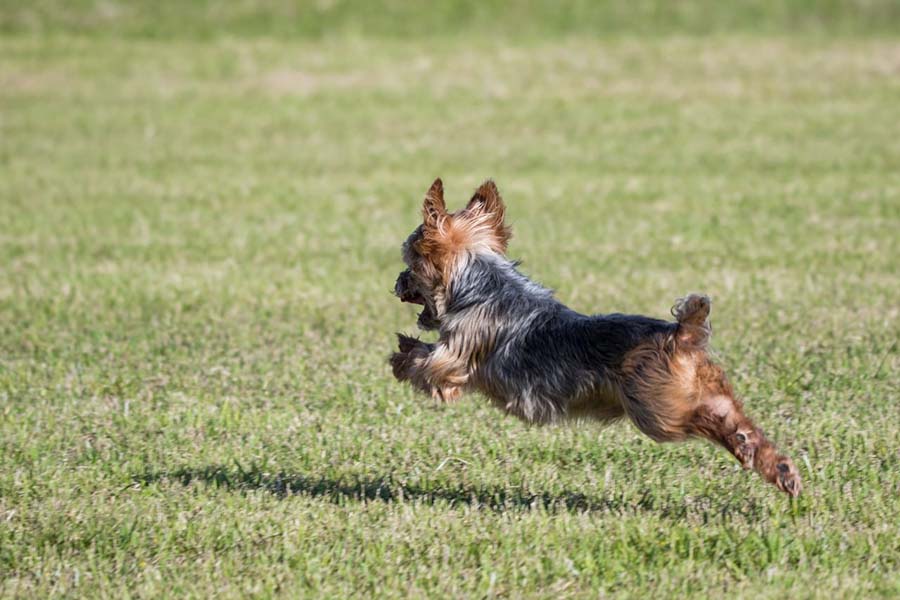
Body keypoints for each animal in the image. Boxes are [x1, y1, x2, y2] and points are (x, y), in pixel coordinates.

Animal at [390, 178, 804, 496]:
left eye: (410, 262)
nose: (396, 282)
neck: (480, 283)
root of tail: (680, 334)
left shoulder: (457, 357)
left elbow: (426, 362)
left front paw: (400, 354)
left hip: (657, 411)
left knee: (709, 422)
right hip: (703, 391)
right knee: (741, 421)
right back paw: (780, 469)